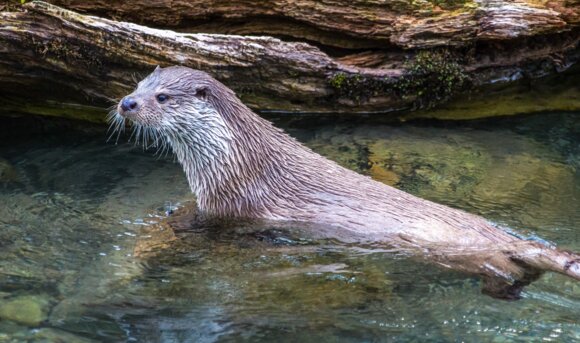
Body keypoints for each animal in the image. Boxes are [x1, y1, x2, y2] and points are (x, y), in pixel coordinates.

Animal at [111, 66, 576, 300]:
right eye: (137, 85)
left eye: (162, 97)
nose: (127, 103)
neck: (236, 159)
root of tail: (501, 235)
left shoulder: (228, 206)